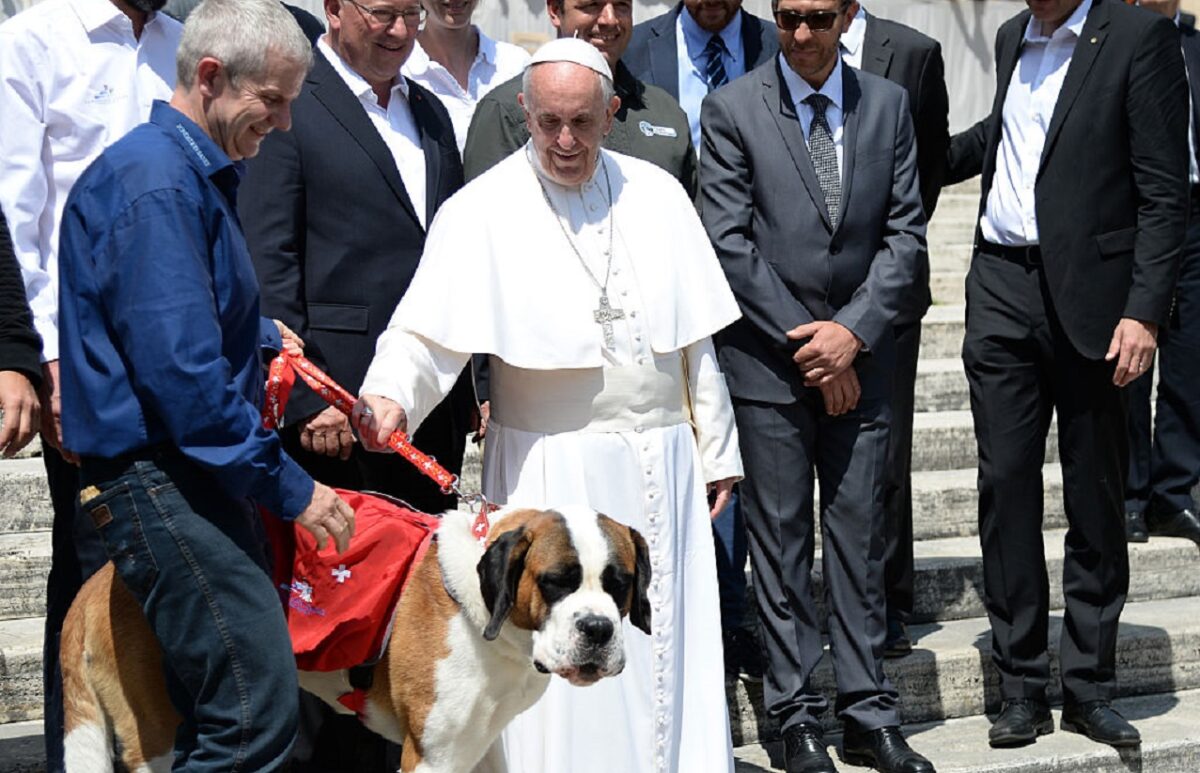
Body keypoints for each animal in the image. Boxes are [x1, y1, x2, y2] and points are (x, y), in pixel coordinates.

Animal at [58, 504, 648, 768]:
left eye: (619, 585)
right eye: (556, 582)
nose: (597, 628)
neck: (487, 620)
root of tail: (97, 582)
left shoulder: (480, 745)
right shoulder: (433, 754)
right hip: (158, 730)